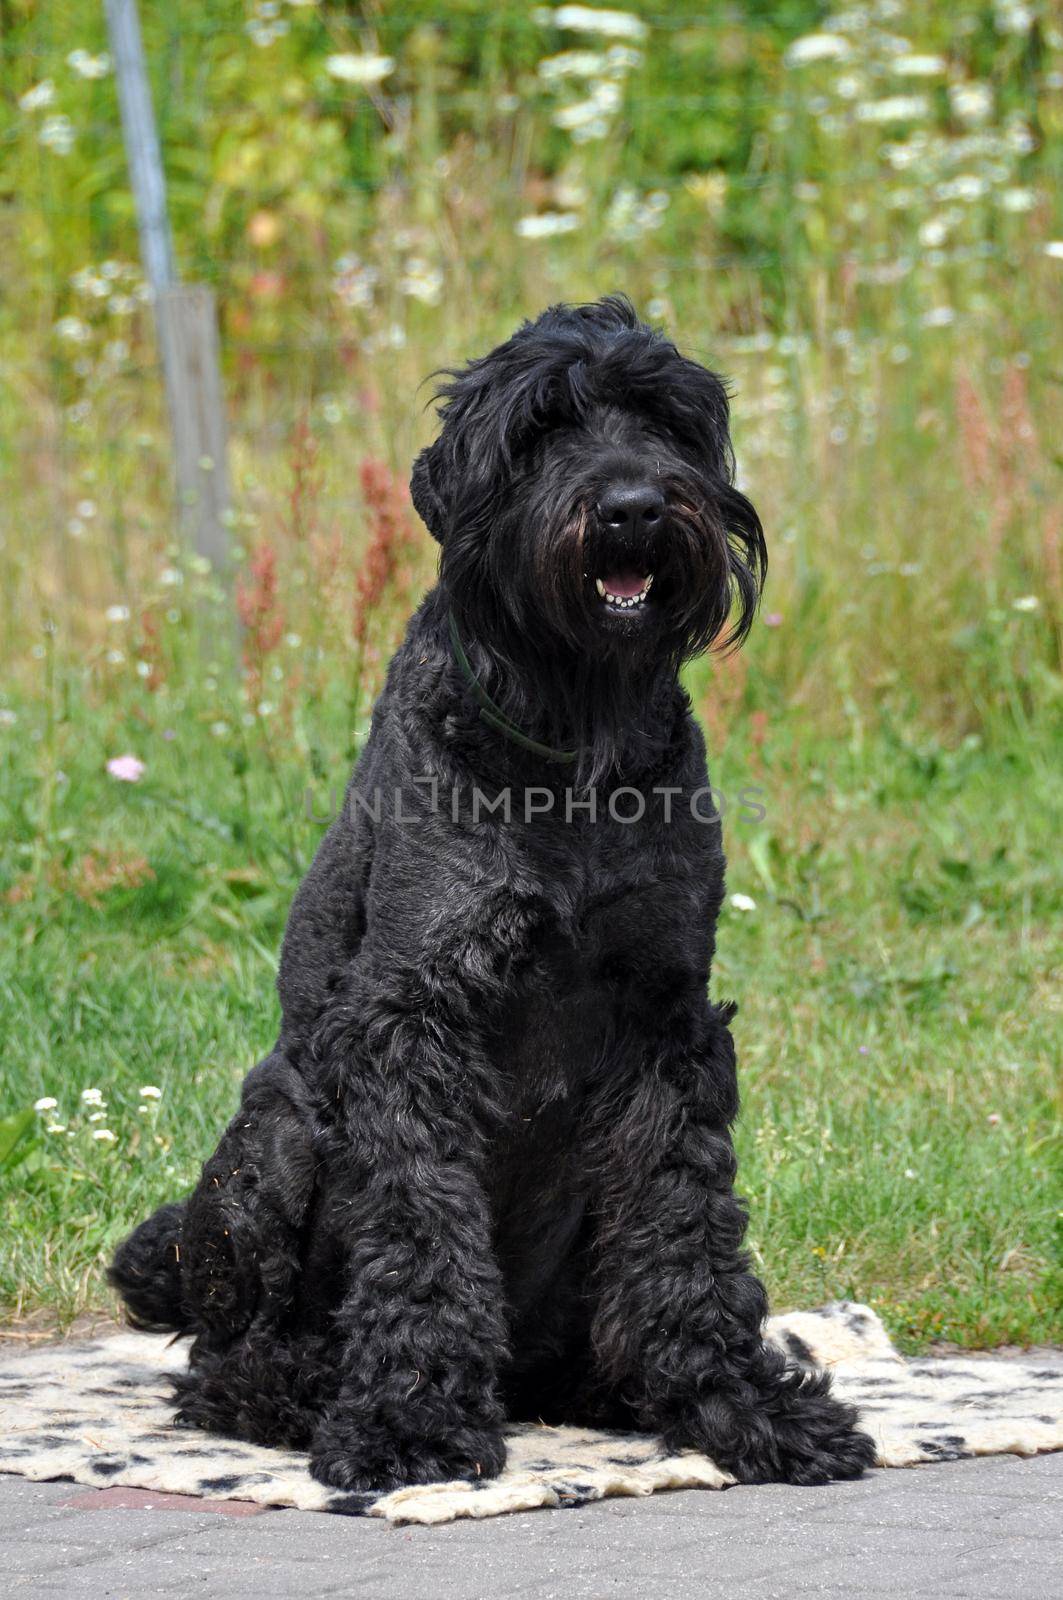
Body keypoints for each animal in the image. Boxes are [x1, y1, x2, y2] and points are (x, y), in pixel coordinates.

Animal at [109, 297, 870, 1484]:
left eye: (665, 420)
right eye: (540, 428)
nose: (632, 505)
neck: (572, 753)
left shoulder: (666, 1019)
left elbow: (685, 1229)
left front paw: (736, 1405)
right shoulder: (413, 1015)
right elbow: (422, 1228)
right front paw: (411, 1418)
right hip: (270, 1145)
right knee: (223, 1356)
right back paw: (296, 1387)